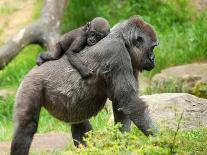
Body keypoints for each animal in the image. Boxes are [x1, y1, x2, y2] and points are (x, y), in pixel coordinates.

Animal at [10, 16, 158, 155]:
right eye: (152, 47)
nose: (153, 58)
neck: (122, 39)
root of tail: (31, 71)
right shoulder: (117, 53)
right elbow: (128, 100)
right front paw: (160, 138)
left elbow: (123, 106)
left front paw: (122, 145)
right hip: (31, 84)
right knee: (26, 126)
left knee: (80, 124)